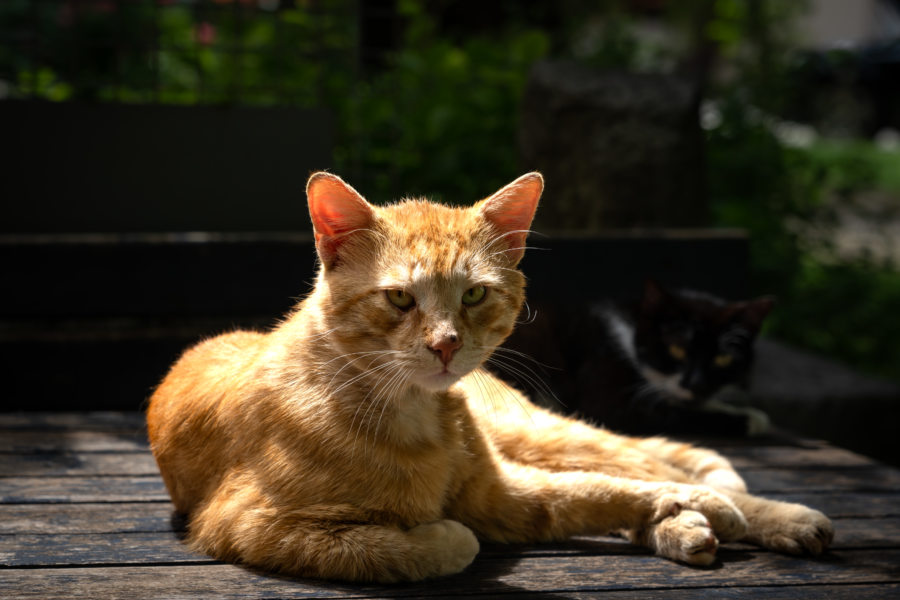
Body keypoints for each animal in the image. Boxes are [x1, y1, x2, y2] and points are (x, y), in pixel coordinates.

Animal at [500, 282, 772, 436]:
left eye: (722, 359)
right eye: (677, 349)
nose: (696, 384)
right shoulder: (604, 399)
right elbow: (676, 414)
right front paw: (748, 420)